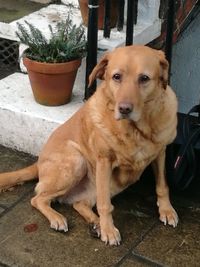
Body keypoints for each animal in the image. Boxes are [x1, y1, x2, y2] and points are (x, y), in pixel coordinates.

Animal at [0, 46, 178, 247]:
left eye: (144, 78)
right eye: (116, 77)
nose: (124, 109)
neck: (136, 130)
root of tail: (38, 163)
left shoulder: (160, 152)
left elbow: (162, 185)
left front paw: (166, 210)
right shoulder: (104, 161)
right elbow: (105, 205)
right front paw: (109, 230)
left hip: (110, 183)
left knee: (79, 204)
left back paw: (96, 224)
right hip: (77, 161)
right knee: (38, 198)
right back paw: (59, 218)